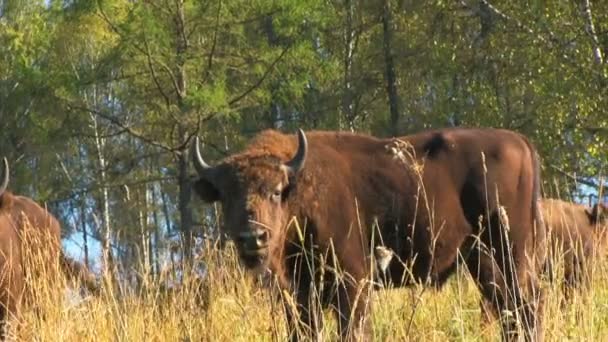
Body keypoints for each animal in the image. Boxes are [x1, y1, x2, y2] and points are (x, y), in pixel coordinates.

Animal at [192, 128, 544, 342]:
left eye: (276, 192)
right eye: (226, 195)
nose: (253, 237)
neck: (302, 190)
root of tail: (521, 142)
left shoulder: (353, 284)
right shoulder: (300, 295)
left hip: (512, 250)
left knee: (527, 306)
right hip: (480, 257)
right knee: (508, 309)